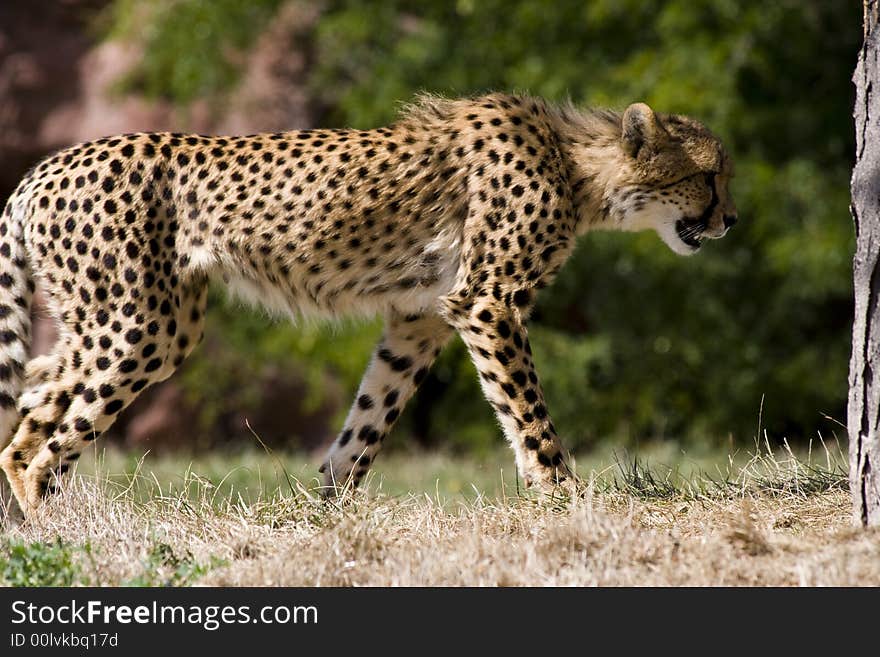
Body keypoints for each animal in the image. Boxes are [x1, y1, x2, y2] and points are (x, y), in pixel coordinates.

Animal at [0, 92, 736, 512]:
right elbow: (526, 411)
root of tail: (42, 168)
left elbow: (372, 414)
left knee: (33, 401)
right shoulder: (488, 302)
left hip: (135, 320)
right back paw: (57, 532)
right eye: (708, 177)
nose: (731, 220)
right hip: (141, 324)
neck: (577, 166)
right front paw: (565, 494)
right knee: (43, 444)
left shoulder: (420, 317)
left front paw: (329, 506)